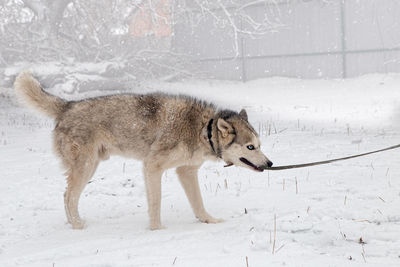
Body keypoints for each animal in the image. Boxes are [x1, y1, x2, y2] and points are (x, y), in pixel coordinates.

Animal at [14, 72, 274, 231]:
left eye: (260, 145)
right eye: (250, 146)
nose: (270, 163)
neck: (202, 130)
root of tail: (67, 105)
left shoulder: (186, 172)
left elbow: (198, 203)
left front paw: (209, 221)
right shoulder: (152, 167)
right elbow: (155, 203)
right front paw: (157, 229)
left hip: (91, 166)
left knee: (67, 196)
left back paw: (73, 224)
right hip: (85, 168)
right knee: (69, 196)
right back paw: (78, 226)